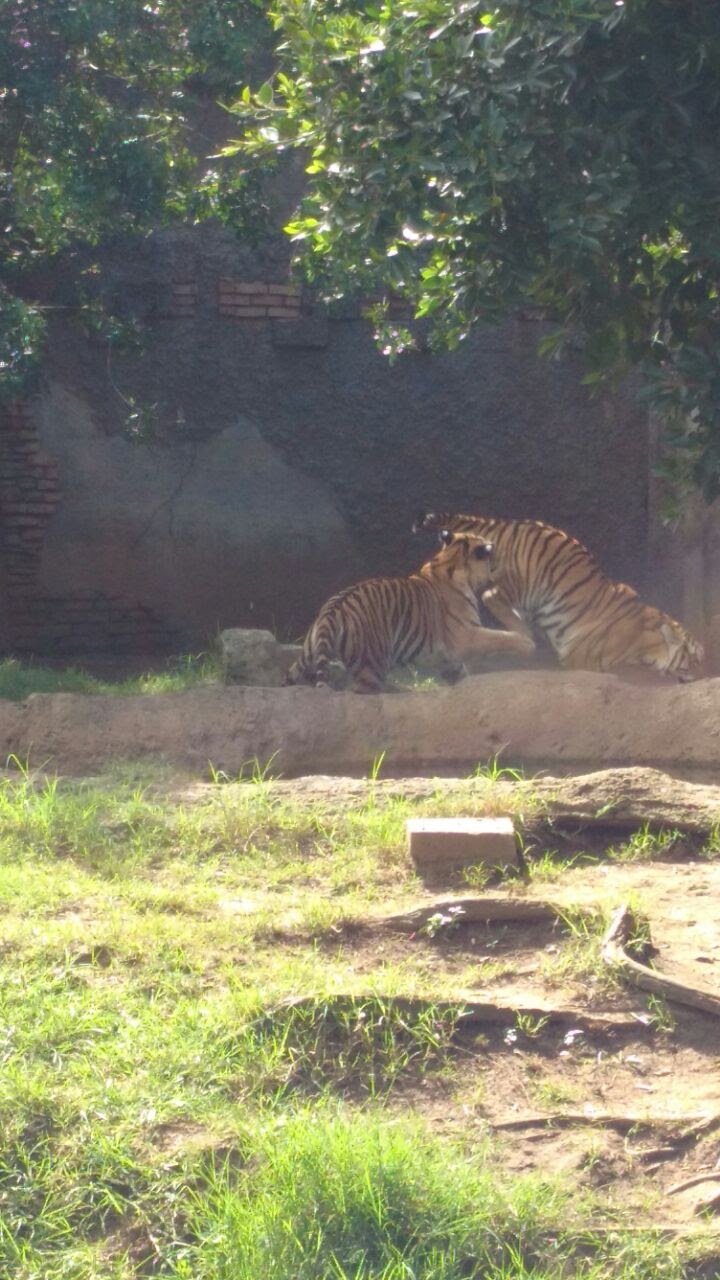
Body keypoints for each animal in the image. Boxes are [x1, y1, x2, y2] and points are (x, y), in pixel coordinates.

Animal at [286, 531, 536, 693]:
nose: (505, 567)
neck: (450, 558)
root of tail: (331, 610)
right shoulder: (465, 636)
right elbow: (499, 637)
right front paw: (527, 644)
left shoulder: (448, 657)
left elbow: (460, 673)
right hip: (371, 664)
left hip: (304, 660)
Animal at [413, 510, 704, 682]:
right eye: (693, 657)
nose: (703, 674)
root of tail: (515, 523)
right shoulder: (587, 660)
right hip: (525, 584)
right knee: (490, 595)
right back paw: (526, 637)